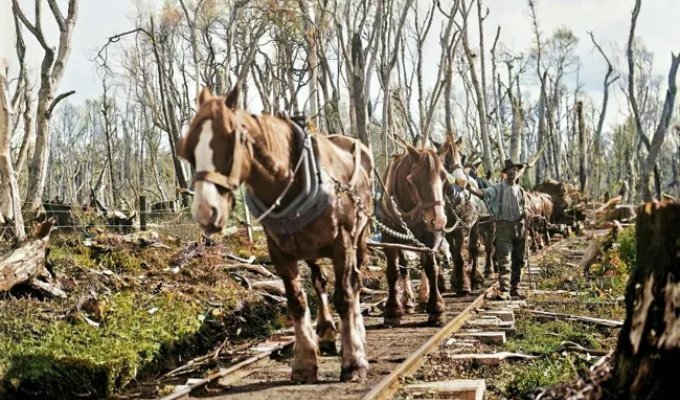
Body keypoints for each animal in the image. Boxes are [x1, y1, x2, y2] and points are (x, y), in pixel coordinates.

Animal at [178, 86, 374, 382]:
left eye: (231, 143)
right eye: (189, 150)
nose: (204, 210)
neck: (291, 180)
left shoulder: (343, 243)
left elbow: (345, 295)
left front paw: (354, 362)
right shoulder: (279, 251)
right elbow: (296, 302)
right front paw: (304, 362)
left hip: (359, 239)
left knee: (356, 282)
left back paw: (357, 335)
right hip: (309, 248)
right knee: (320, 281)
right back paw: (327, 332)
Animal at [380, 145, 448, 326]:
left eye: (444, 177)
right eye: (414, 179)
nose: (439, 220)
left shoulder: (430, 236)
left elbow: (431, 268)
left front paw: (436, 308)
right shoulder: (388, 237)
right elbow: (393, 270)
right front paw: (392, 309)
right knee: (403, 266)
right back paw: (407, 300)